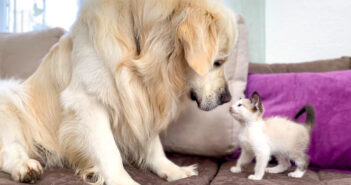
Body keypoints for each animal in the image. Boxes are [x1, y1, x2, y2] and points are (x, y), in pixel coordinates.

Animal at [0, 0, 238, 184]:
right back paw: (25, 167)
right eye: (217, 62)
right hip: (9, 96)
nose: (227, 97)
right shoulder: (87, 100)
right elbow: (108, 150)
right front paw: (123, 180)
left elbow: (153, 144)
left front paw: (173, 170)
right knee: (9, 150)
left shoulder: (142, 97)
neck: (139, 51)